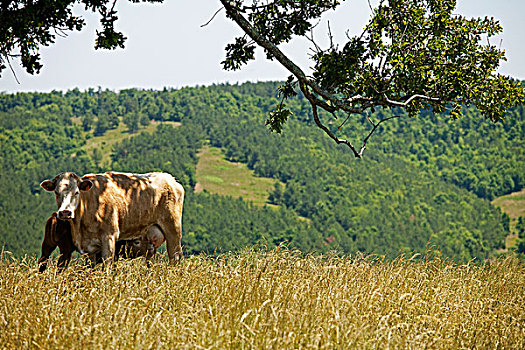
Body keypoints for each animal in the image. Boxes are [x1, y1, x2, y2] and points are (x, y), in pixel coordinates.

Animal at [38, 212, 166, 272]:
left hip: (47, 245)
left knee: (42, 262)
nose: (151, 247)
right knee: (60, 267)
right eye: (137, 242)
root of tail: (55, 217)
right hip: (65, 250)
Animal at [39, 172, 183, 266]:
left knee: (175, 257)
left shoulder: (109, 236)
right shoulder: (89, 247)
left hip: (173, 230)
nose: (65, 212)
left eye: (77, 192)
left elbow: (107, 266)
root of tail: (171, 179)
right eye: (56, 192)